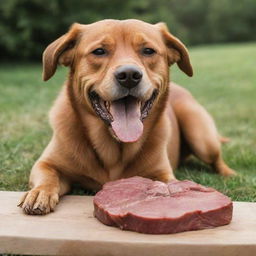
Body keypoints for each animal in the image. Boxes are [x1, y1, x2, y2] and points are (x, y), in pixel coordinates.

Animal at [18, 19, 236, 214]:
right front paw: (40, 192)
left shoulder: (162, 173)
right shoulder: (47, 163)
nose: (129, 75)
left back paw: (230, 174)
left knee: (216, 159)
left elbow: (170, 184)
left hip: (201, 136)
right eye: (99, 51)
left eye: (148, 50)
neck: (113, 148)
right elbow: (48, 175)